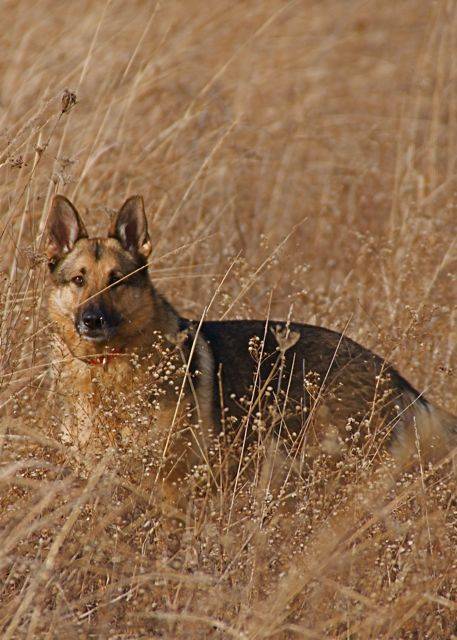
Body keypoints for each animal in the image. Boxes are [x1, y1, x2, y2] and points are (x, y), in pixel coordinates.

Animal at [45, 195, 452, 500]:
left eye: (117, 281)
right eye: (79, 280)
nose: (92, 320)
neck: (107, 371)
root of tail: (392, 374)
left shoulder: (173, 487)